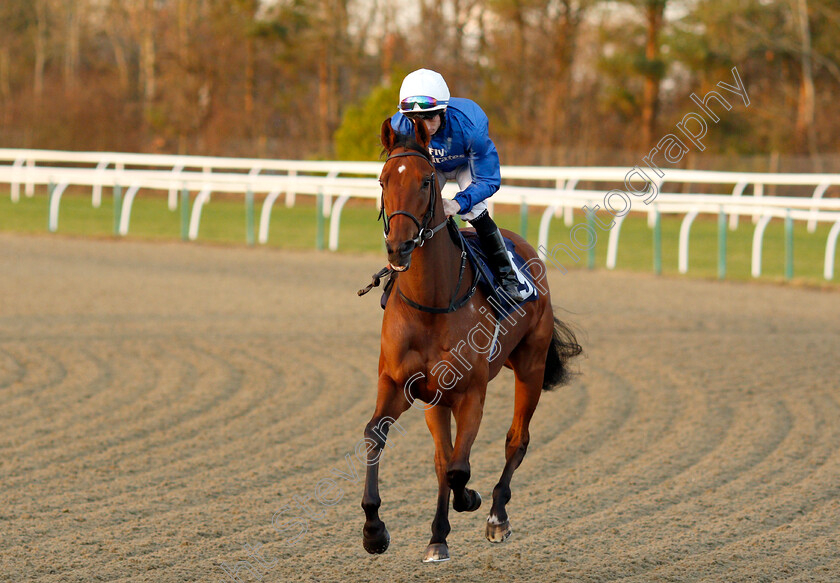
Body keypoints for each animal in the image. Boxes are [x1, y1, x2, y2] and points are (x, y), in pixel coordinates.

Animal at [358, 117, 580, 560]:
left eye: (427, 181)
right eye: (383, 179)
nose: (399, 247)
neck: (431, 304)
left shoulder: (471, 392)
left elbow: (461, 468)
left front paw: (472, 500)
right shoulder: (399, 384)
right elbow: (378, 436)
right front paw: (374, 530)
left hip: (530, 366)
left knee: (516, 440)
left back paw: (496, 516)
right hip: (435, 399)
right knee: (442, 458)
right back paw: (438, 537)